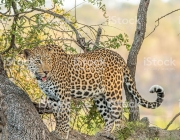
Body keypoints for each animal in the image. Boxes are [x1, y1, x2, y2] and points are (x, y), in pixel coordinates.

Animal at [22, 44, 165, 139]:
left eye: (48, 60)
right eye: (38, 61)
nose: (46, 71)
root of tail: (119, 56)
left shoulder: (63, 96)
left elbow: (63, 115)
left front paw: (62, 133)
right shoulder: (52, 97)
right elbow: (57, 115)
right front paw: (57, 131)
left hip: (113, 93)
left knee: (119, 116)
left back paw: (117, 133)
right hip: (99, 97)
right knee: (108, 117)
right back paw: (104, 132)